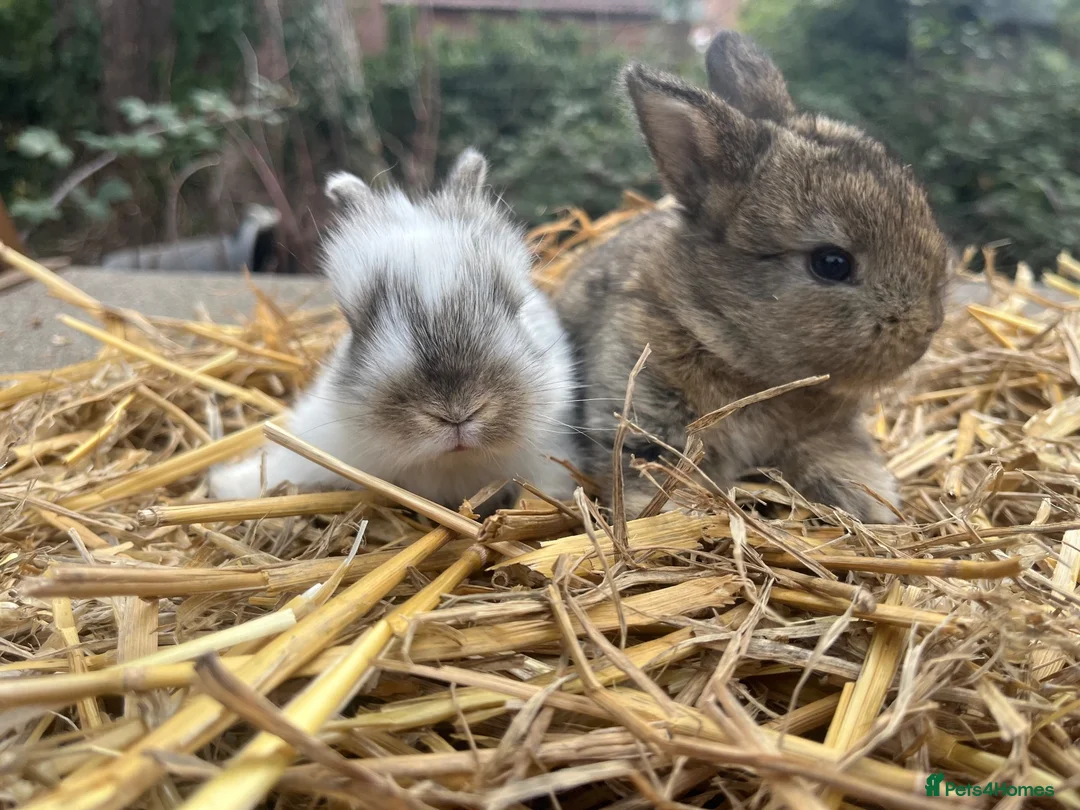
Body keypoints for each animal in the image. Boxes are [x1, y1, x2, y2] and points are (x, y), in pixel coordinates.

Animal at [555, 31, 949, 523]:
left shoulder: (827, 430)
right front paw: (674, 519)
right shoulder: (646, 419)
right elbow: (659, 474)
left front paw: (873, 505)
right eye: (831, 263)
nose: (926, 328)